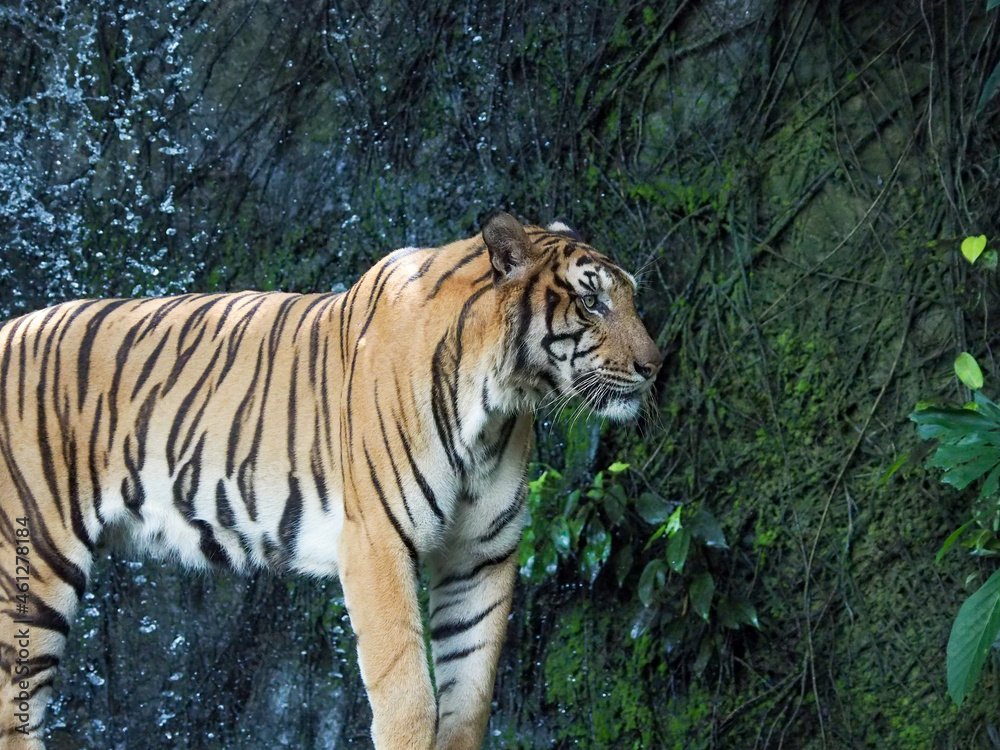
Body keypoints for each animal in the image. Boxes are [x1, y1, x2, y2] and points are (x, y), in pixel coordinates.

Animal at [0, 211, 662, 749]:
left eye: (630, 298)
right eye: (593, 303)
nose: (656, 366)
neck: (495, 406)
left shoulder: (482, 556)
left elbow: (467, 702)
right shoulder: (377, 541)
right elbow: (407, 698)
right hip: (31, 568)